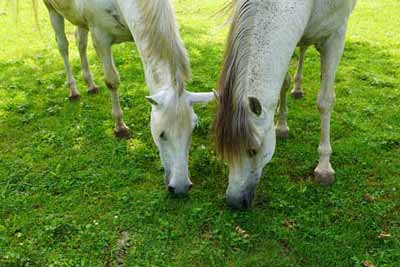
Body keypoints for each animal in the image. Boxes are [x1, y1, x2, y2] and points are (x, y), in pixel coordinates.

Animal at [41, 0, 216, 197]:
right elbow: (112, 81)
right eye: (161, 134)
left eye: (192, 130)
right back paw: (73, 90)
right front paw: (120, 127)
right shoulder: (100, 38)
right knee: (63, 45)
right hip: (52, 10)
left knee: (80, 41)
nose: (180, 188)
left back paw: (91, 85)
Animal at [214, 0, 358, 209]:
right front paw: (281, 127)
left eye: (253, 150)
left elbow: (325, 101)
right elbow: (283, 84)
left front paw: (324, 167)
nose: (234, 202)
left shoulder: (336, 35)